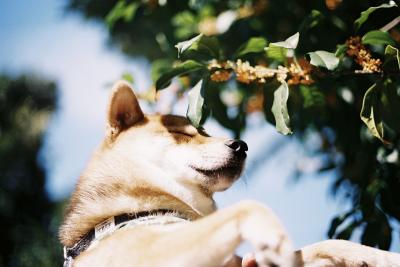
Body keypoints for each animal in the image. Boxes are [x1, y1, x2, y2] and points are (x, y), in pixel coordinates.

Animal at [59, 81, 400, 267]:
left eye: (205, 131)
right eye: (181, 133)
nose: (241, 145)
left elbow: (328, 244)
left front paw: (381, 257)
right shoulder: (156, 253)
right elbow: (248, 207)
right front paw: (272, 233)